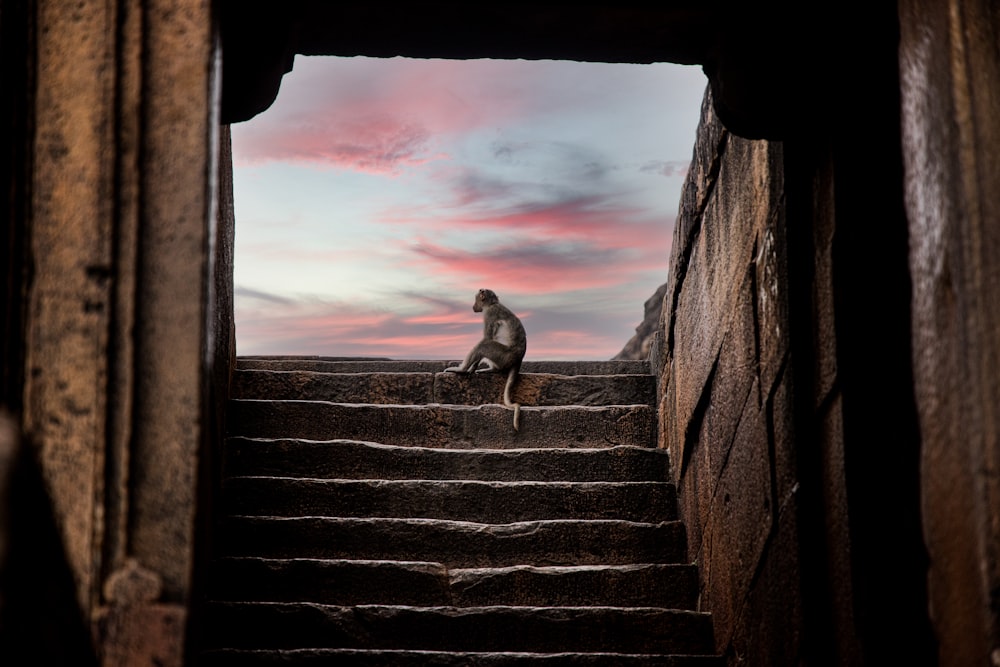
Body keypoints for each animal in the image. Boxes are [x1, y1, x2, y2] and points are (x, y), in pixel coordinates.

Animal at [444, 290, 524, 430]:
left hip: (504, 356)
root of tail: (519, 358)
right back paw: (492, 369)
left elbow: (486, 338)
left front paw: (467, 368)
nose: (473, 306)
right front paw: (473, 367)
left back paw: (462, 369)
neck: (493, 303)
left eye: (475, 299)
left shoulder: (490, 313)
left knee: (485, 345)